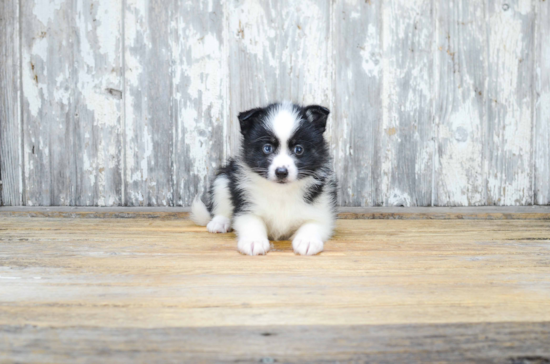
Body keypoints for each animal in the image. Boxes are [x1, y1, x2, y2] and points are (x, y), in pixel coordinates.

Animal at [192, 101, 338, 256]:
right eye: (267, 148)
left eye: (299, 149)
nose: (281, 172)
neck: (281, 191)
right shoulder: (246, 204)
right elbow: (252, 222)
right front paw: (253, 241)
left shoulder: (322, 207)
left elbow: (314, 224)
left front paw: (307, 241)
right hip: (223, 178)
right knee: (221, 203)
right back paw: (219, 222)